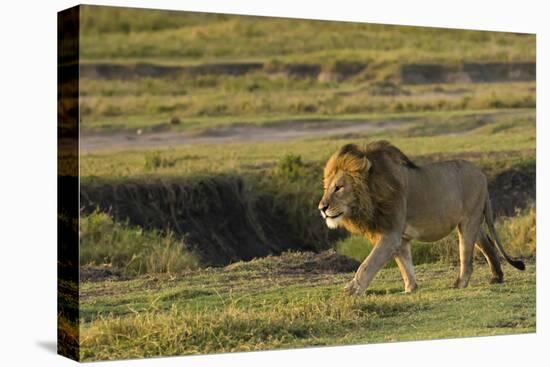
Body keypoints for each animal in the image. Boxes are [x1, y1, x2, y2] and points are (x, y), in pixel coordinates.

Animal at [322, 141, 528, 296]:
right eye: (326, 188)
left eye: (339, 187)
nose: (322, 208)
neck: (371, 194)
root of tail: (482, 175)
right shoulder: (399, 237)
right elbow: (404, 264)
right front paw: (410, 289)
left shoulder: (390, 234)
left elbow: (368, 264)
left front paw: (351, 291)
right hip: (473, 222)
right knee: (488, 245)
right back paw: (496, 277)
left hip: (469, 221)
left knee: (466, 258)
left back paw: (460, 283)